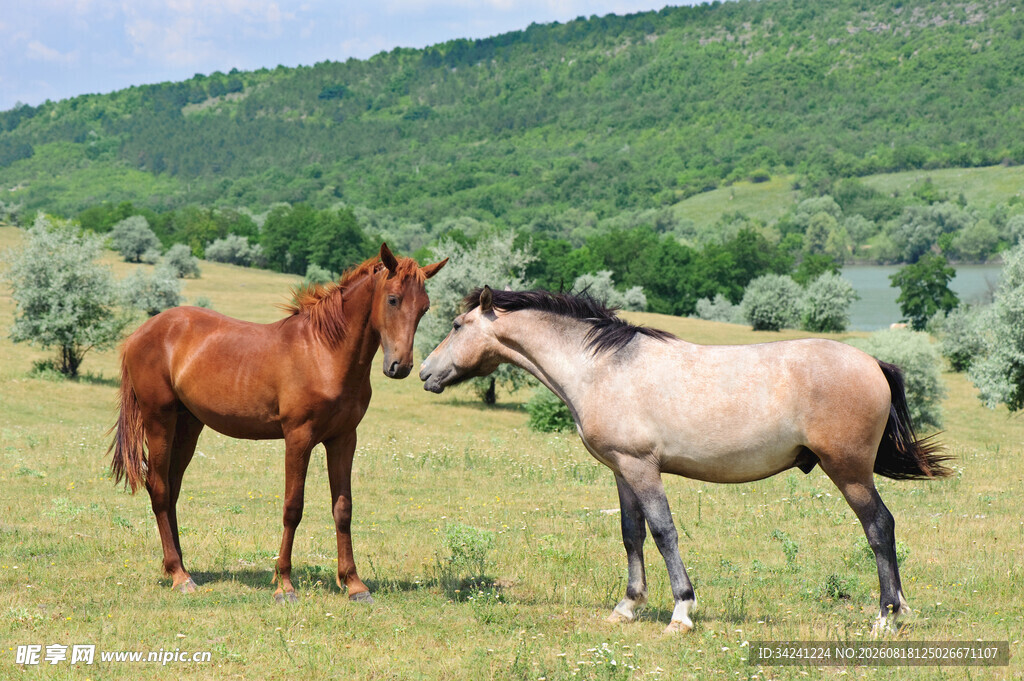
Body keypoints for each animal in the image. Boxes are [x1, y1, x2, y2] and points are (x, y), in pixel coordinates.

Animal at [109, 243, 446, 603]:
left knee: (172, 489)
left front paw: (354, 584)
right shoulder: (298, 438)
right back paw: (179, 575)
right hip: (159, 420)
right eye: (393, 299)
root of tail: (140, 333)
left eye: (424, 307)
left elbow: (343, 509)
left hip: (188, 427)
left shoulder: (344, 439)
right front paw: (284, 584)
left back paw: (179, 567)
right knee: (158, 488)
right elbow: (292, 508)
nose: (401, 366)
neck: (324, 352)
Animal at [419, 287, 951, 634]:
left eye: (456, 326)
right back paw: (900, 609)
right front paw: (627, 606)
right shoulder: (623, 470)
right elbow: (631, 533)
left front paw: (681, 611)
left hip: (849, 471)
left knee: (879, 527)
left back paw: (885, 616)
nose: (424, 371)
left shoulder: (642, 467)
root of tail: (873, 363)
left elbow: (662, 532)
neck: (603, 367)